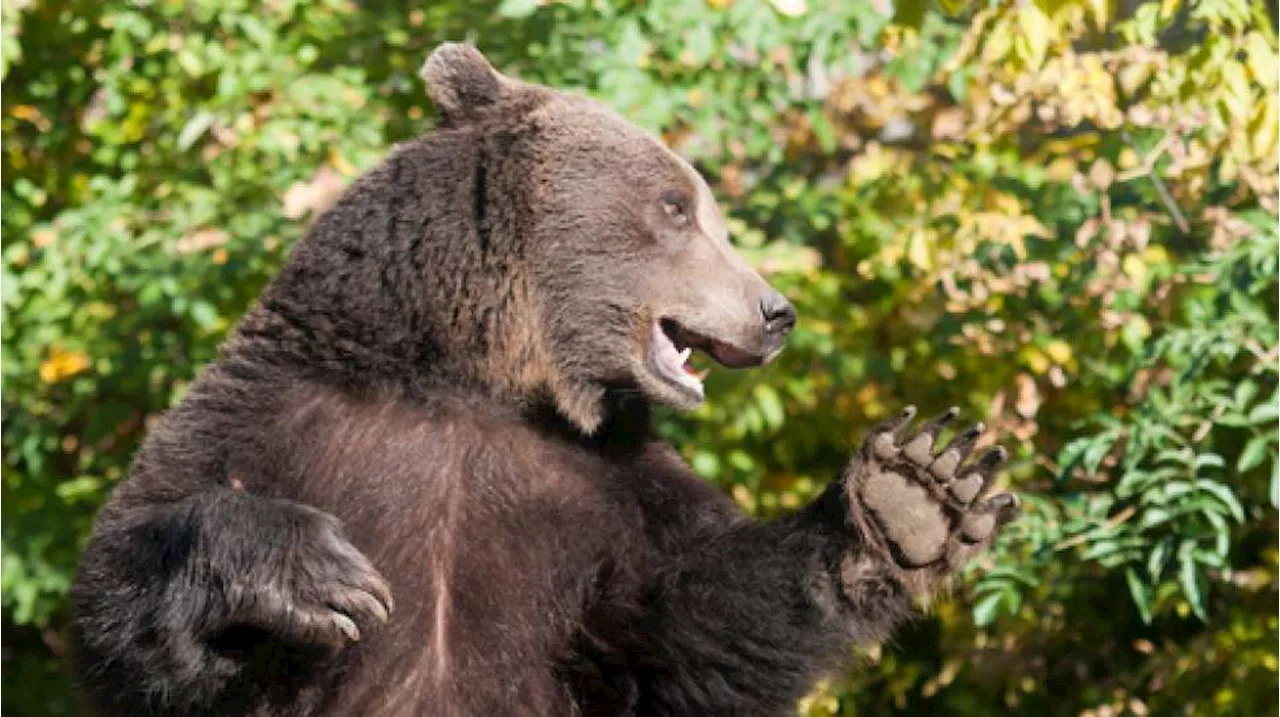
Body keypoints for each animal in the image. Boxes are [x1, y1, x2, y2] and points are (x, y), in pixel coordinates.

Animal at [67, 44, 1018, 717]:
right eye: (676, 207)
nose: (775, 311)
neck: (474, 375)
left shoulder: (605, 489)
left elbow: (689, 628)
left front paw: (916, 494)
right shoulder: (283, 407)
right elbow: (121, 594)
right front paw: (314, 574)